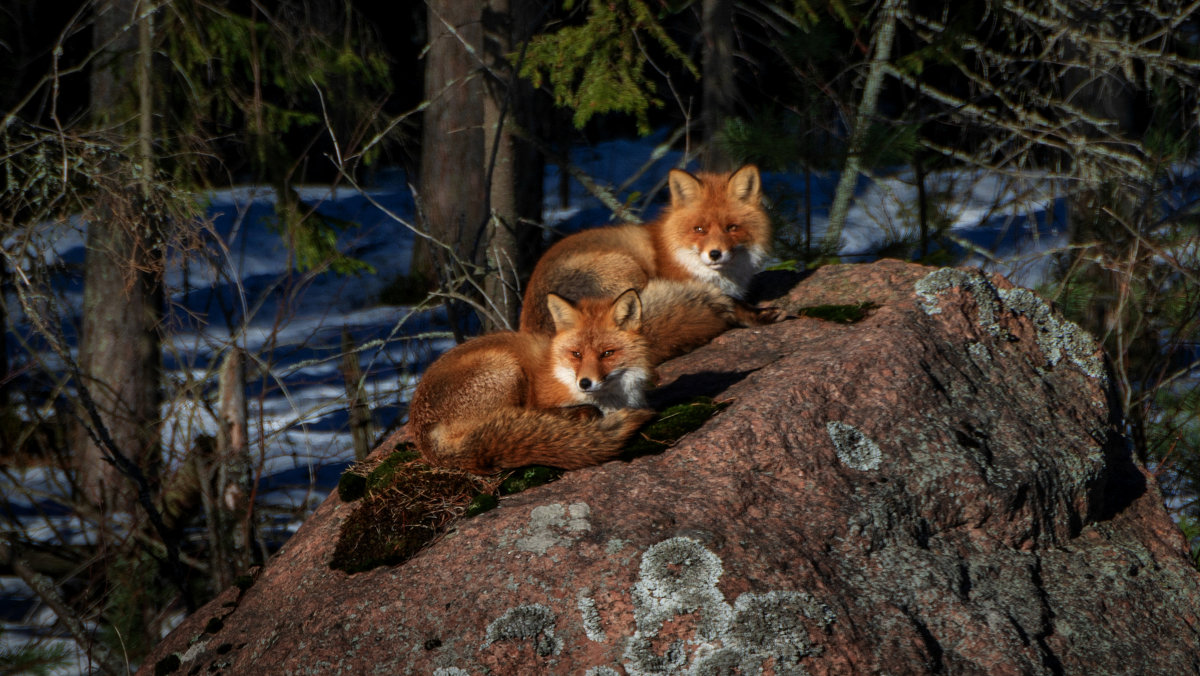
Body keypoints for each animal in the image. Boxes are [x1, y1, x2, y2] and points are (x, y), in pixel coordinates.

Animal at [518, 164, 777, 338]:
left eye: (731, 228)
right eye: (699, 229)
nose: (715, 254)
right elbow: (728, 300)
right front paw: (755, 313)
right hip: (626, 271)